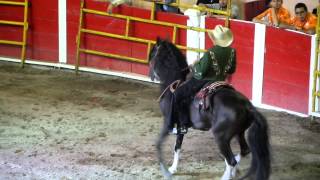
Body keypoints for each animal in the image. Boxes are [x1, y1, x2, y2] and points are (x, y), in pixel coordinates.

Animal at [149, 37, 270, 179]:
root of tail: (247, 106)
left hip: (221, 136)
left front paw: (166, 171)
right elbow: (177, 146)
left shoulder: (168, 122)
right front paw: (173, 168)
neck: (172, 83)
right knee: (243, 151)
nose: (151, 75)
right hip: (238, 133)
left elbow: (159, 144)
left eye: (153, 53)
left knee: (231, 160)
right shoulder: (180, 126)